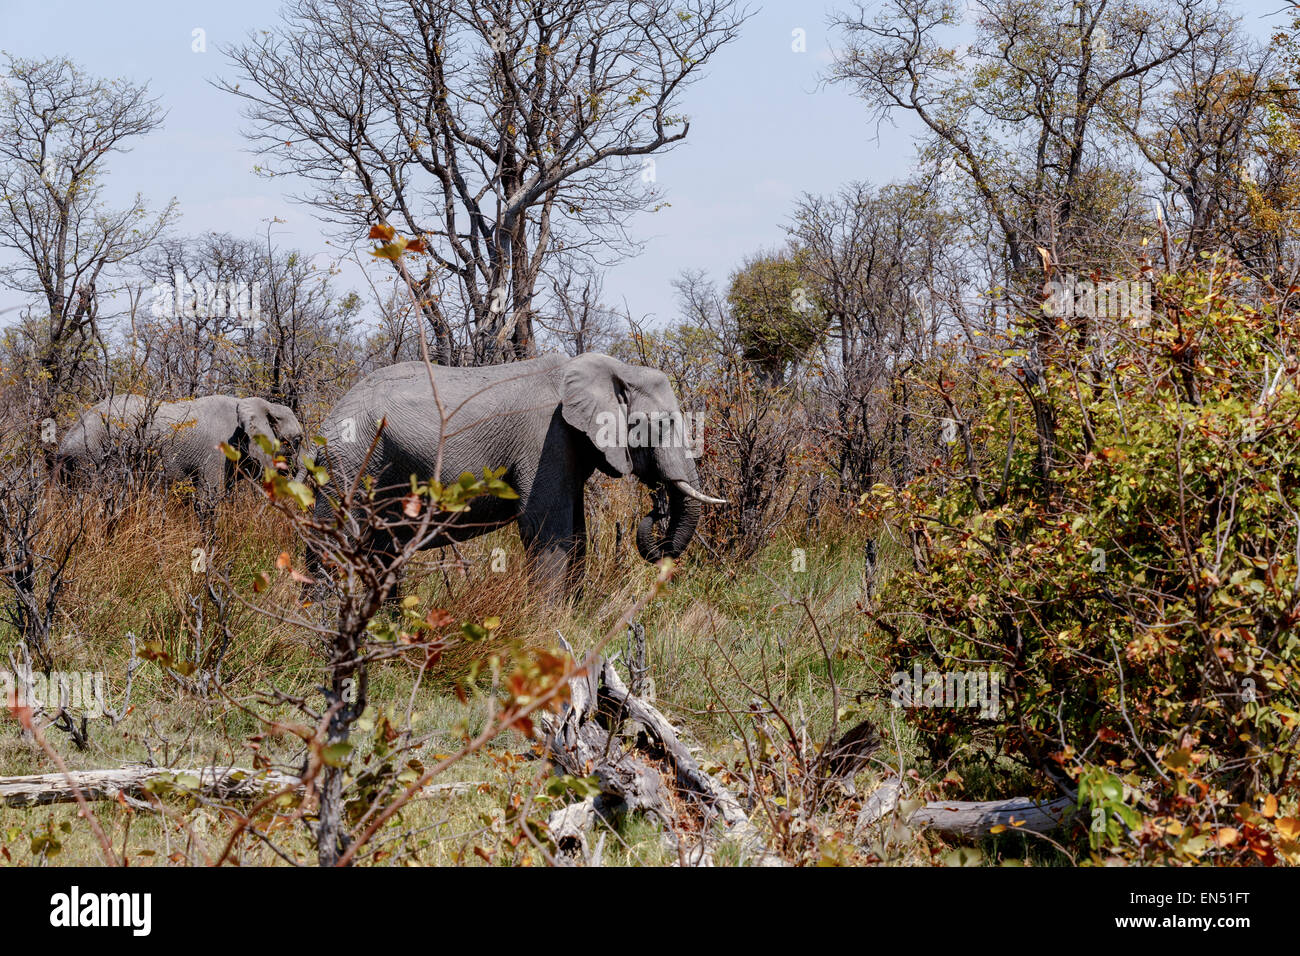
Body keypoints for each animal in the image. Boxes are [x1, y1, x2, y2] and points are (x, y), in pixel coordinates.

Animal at [309, 352, 726, 596]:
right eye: (664, 423)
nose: (656, 507)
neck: (611, 369)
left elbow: (577, 534)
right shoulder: (545, 437)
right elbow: (548, 529)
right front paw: (548, 627)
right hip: (348, 465)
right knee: (337, 549)